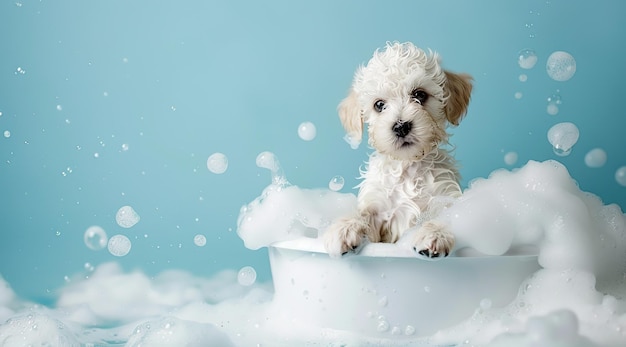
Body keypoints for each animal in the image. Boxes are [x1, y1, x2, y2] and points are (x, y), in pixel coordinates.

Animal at [324, 41, 470, 258]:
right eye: (379, 105)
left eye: (419, 95)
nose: (401, 126)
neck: (409, 168)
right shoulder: (378, 208)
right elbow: (362, 213)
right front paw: (344, 228)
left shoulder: (444, 197)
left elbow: (448, 216)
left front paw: (434, 234)